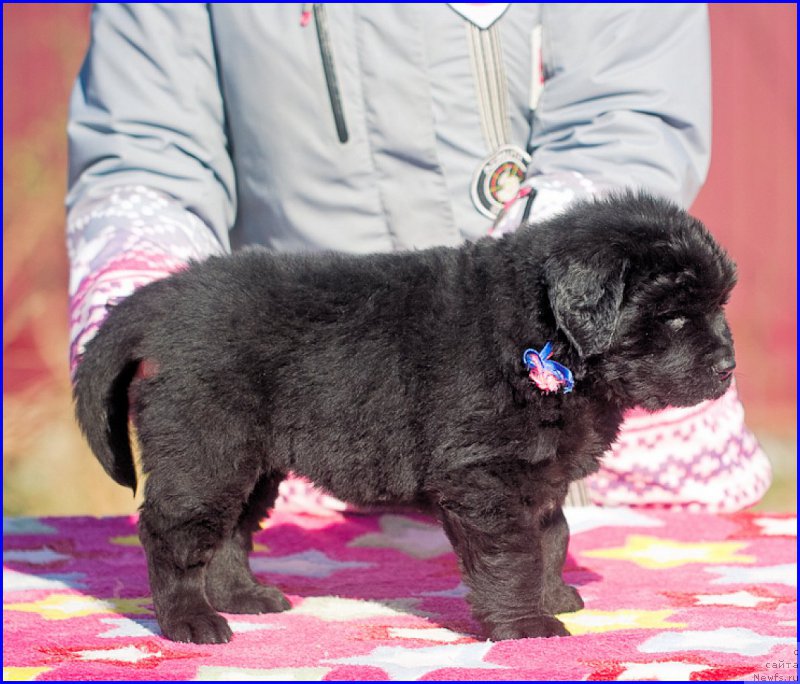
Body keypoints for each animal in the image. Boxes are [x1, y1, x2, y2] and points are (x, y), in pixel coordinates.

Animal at [73, 191, 736, 640]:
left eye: (718, 305)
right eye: (675, 314)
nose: (729, 366)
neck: (545, 333)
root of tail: (163, 297)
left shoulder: (539, 476)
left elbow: (553, 535)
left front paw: (553, 596)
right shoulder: (486, 475)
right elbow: (513, 553)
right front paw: (526, 624)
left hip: (250, 459)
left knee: (232, 529)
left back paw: (243, 596)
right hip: (205, 448)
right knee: (176, 534)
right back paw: (192, 621)